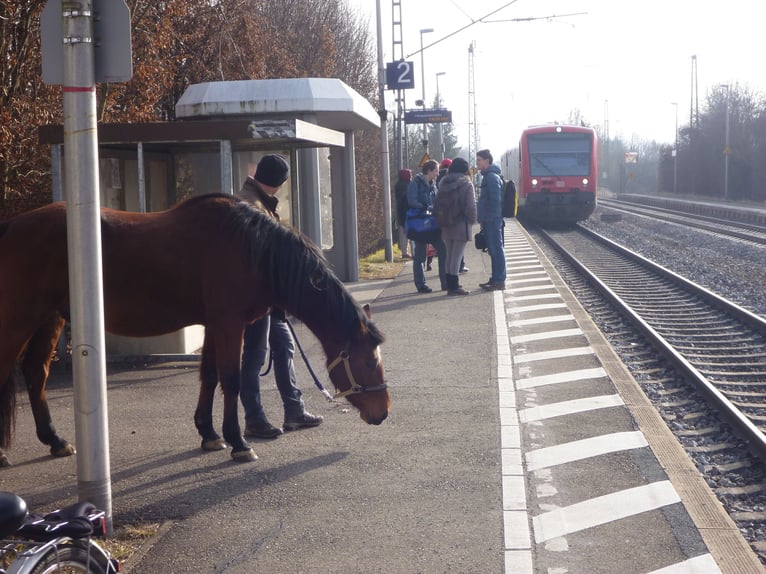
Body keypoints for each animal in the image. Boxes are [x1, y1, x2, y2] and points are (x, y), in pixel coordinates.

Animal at [0, 196, 390, 466]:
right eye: (369, 362)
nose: (382, 412)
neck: (252, 249)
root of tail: (11, 226)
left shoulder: (214, 325)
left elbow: (210, 376)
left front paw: (209, 433)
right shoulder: (230, 324)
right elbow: (231, 379)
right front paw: (239, 443)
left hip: (50, 318)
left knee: (35, 372)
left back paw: (55, 440)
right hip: (21, 318)